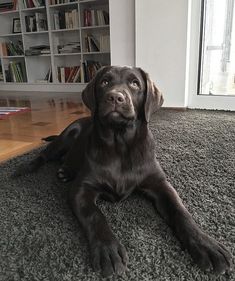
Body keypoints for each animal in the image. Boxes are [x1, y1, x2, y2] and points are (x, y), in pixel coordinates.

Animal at [16, 66, 231, 276]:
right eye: (104, 82)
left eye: (135, 83)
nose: (115, 97)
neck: (120, 145)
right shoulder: (81, 190)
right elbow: (95, 216)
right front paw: (108, 250)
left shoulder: (160, 184)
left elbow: (181, 212)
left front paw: (206, 245)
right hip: (67, 135)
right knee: (45, 154)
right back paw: (26, 169)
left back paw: (65, 171)